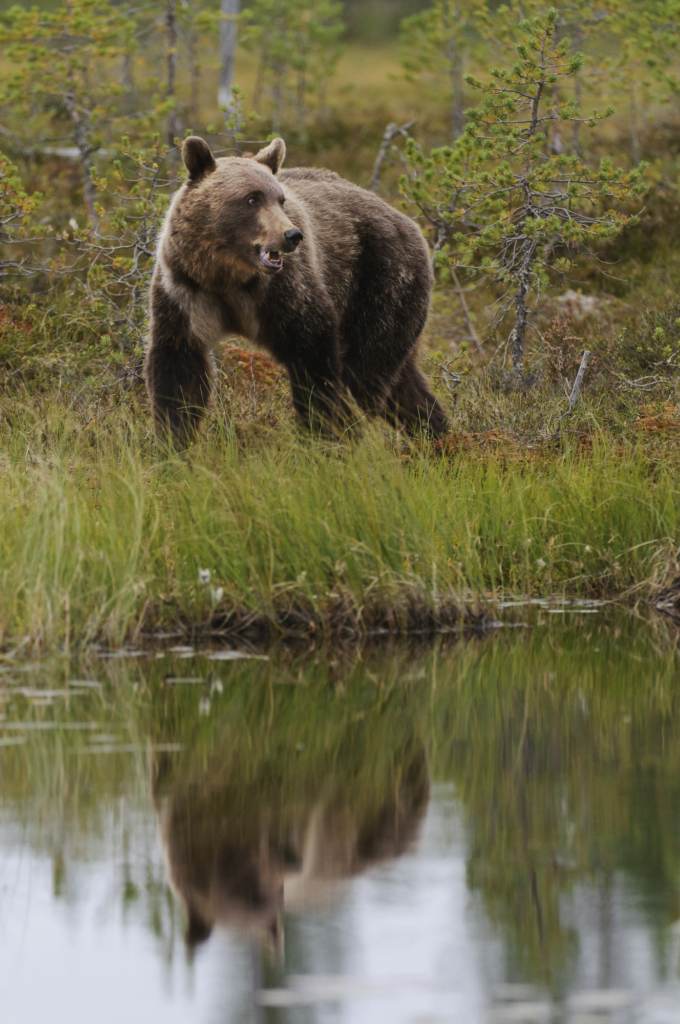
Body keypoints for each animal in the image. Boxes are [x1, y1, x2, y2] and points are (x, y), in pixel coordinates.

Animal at [146, 135, 448, 436]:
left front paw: (319, 429)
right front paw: (174, 435)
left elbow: (314, 355)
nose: (291, 235)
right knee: (404, 386)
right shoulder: (186, 292)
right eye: (252, 198)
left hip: (382, 283)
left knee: (367, 368)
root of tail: (408, 223)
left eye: (281, 199)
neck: (228, 275)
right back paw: (436, 432)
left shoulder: (284, 292)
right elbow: (178, 370)